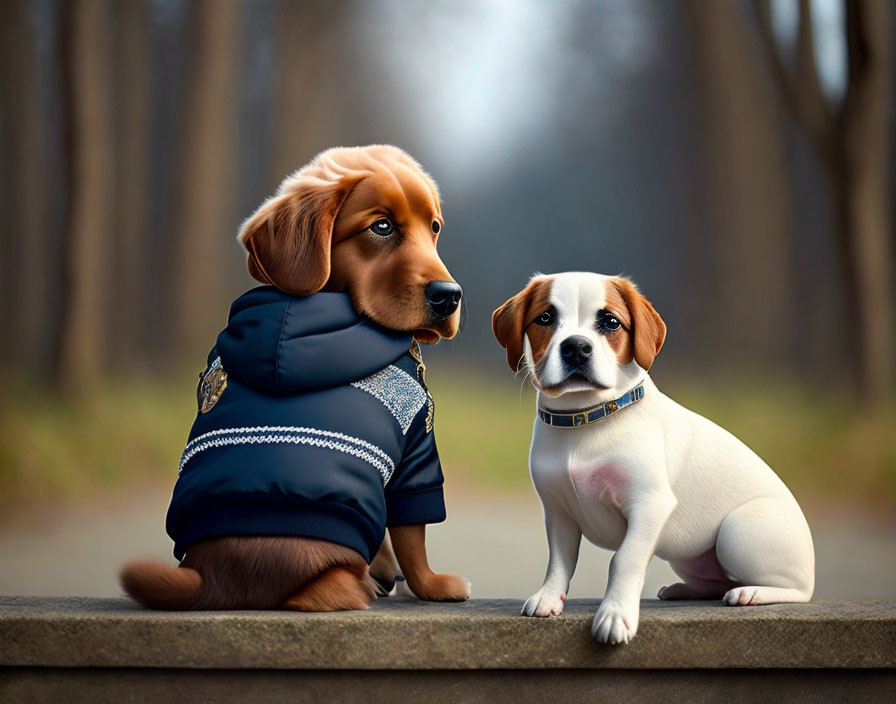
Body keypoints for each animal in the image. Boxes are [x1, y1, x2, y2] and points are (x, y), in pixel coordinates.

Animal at [122, 147, 472, 612]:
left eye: (434, 228)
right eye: (382, 226)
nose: (450, 296)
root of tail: (216, 580)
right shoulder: (417, 447)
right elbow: (412, 535)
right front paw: (433, 584)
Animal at [494, 272, 816, 648]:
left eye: (611, 322)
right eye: (545, 318)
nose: (576, 346)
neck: (586, 421)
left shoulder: (648, 504)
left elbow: (624, 560)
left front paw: (615, 615)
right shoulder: (559, 512)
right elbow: (559, 562)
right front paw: (548, 597)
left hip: (738, 531)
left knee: (798, 590)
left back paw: (752, 593)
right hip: (690, 557)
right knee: (718, 582)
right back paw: (684, 589)